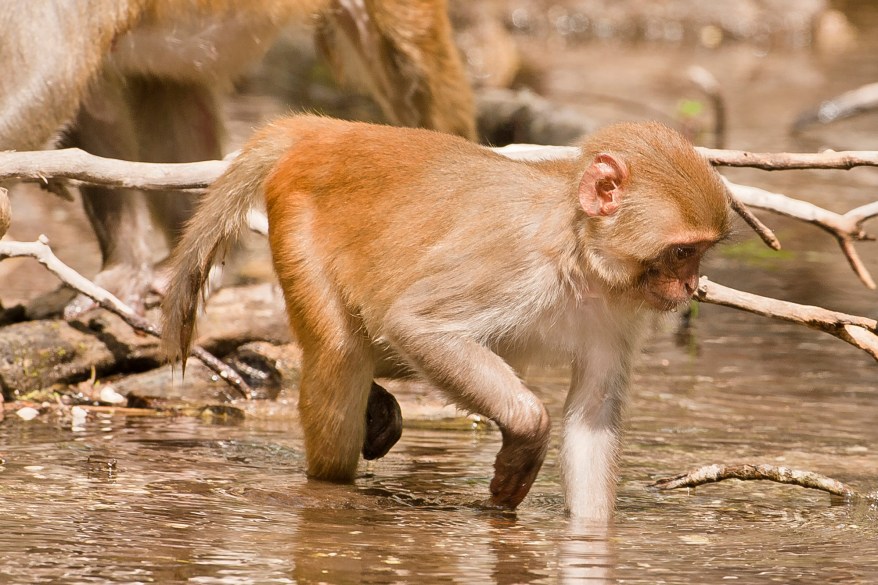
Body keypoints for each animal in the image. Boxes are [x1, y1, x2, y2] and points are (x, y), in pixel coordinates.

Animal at [162, 116, 732, 516]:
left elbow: (592, 415)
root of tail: (330, 131)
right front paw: (526, 436)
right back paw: (328, 486)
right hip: (297, 223)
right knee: (342, 353)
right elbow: (417, 324)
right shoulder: (511, 260)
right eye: (682, 252)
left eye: (700, 253)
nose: (690, 286)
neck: (581, 254)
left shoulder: (618, 314)